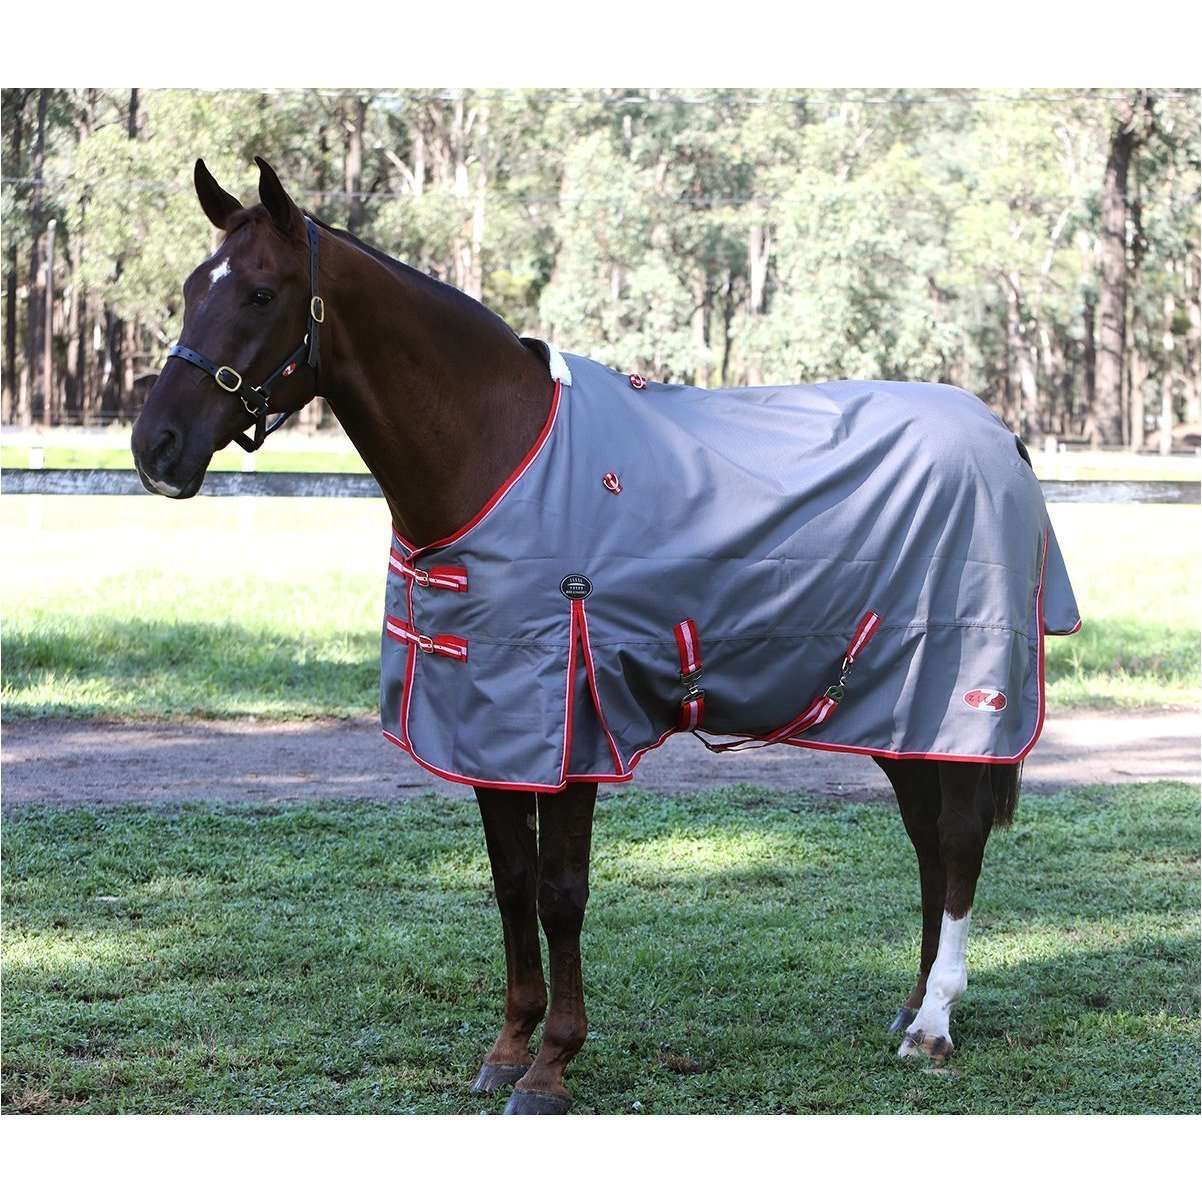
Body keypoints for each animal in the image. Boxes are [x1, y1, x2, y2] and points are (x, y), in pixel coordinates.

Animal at [131, 157, 1078, 1114]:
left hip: (956, 689)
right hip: (896, 705)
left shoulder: (574, 724)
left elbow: (560, 893)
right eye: (192, 288)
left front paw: (552, 1065)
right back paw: (913, 1007)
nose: (155, 447)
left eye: (259, 293)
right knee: (928, 837)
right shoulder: (485, 724)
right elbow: (510, 883)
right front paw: (508, 1047)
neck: (498, 453)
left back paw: (934, 1025)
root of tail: (1002, 434)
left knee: (956, 839)